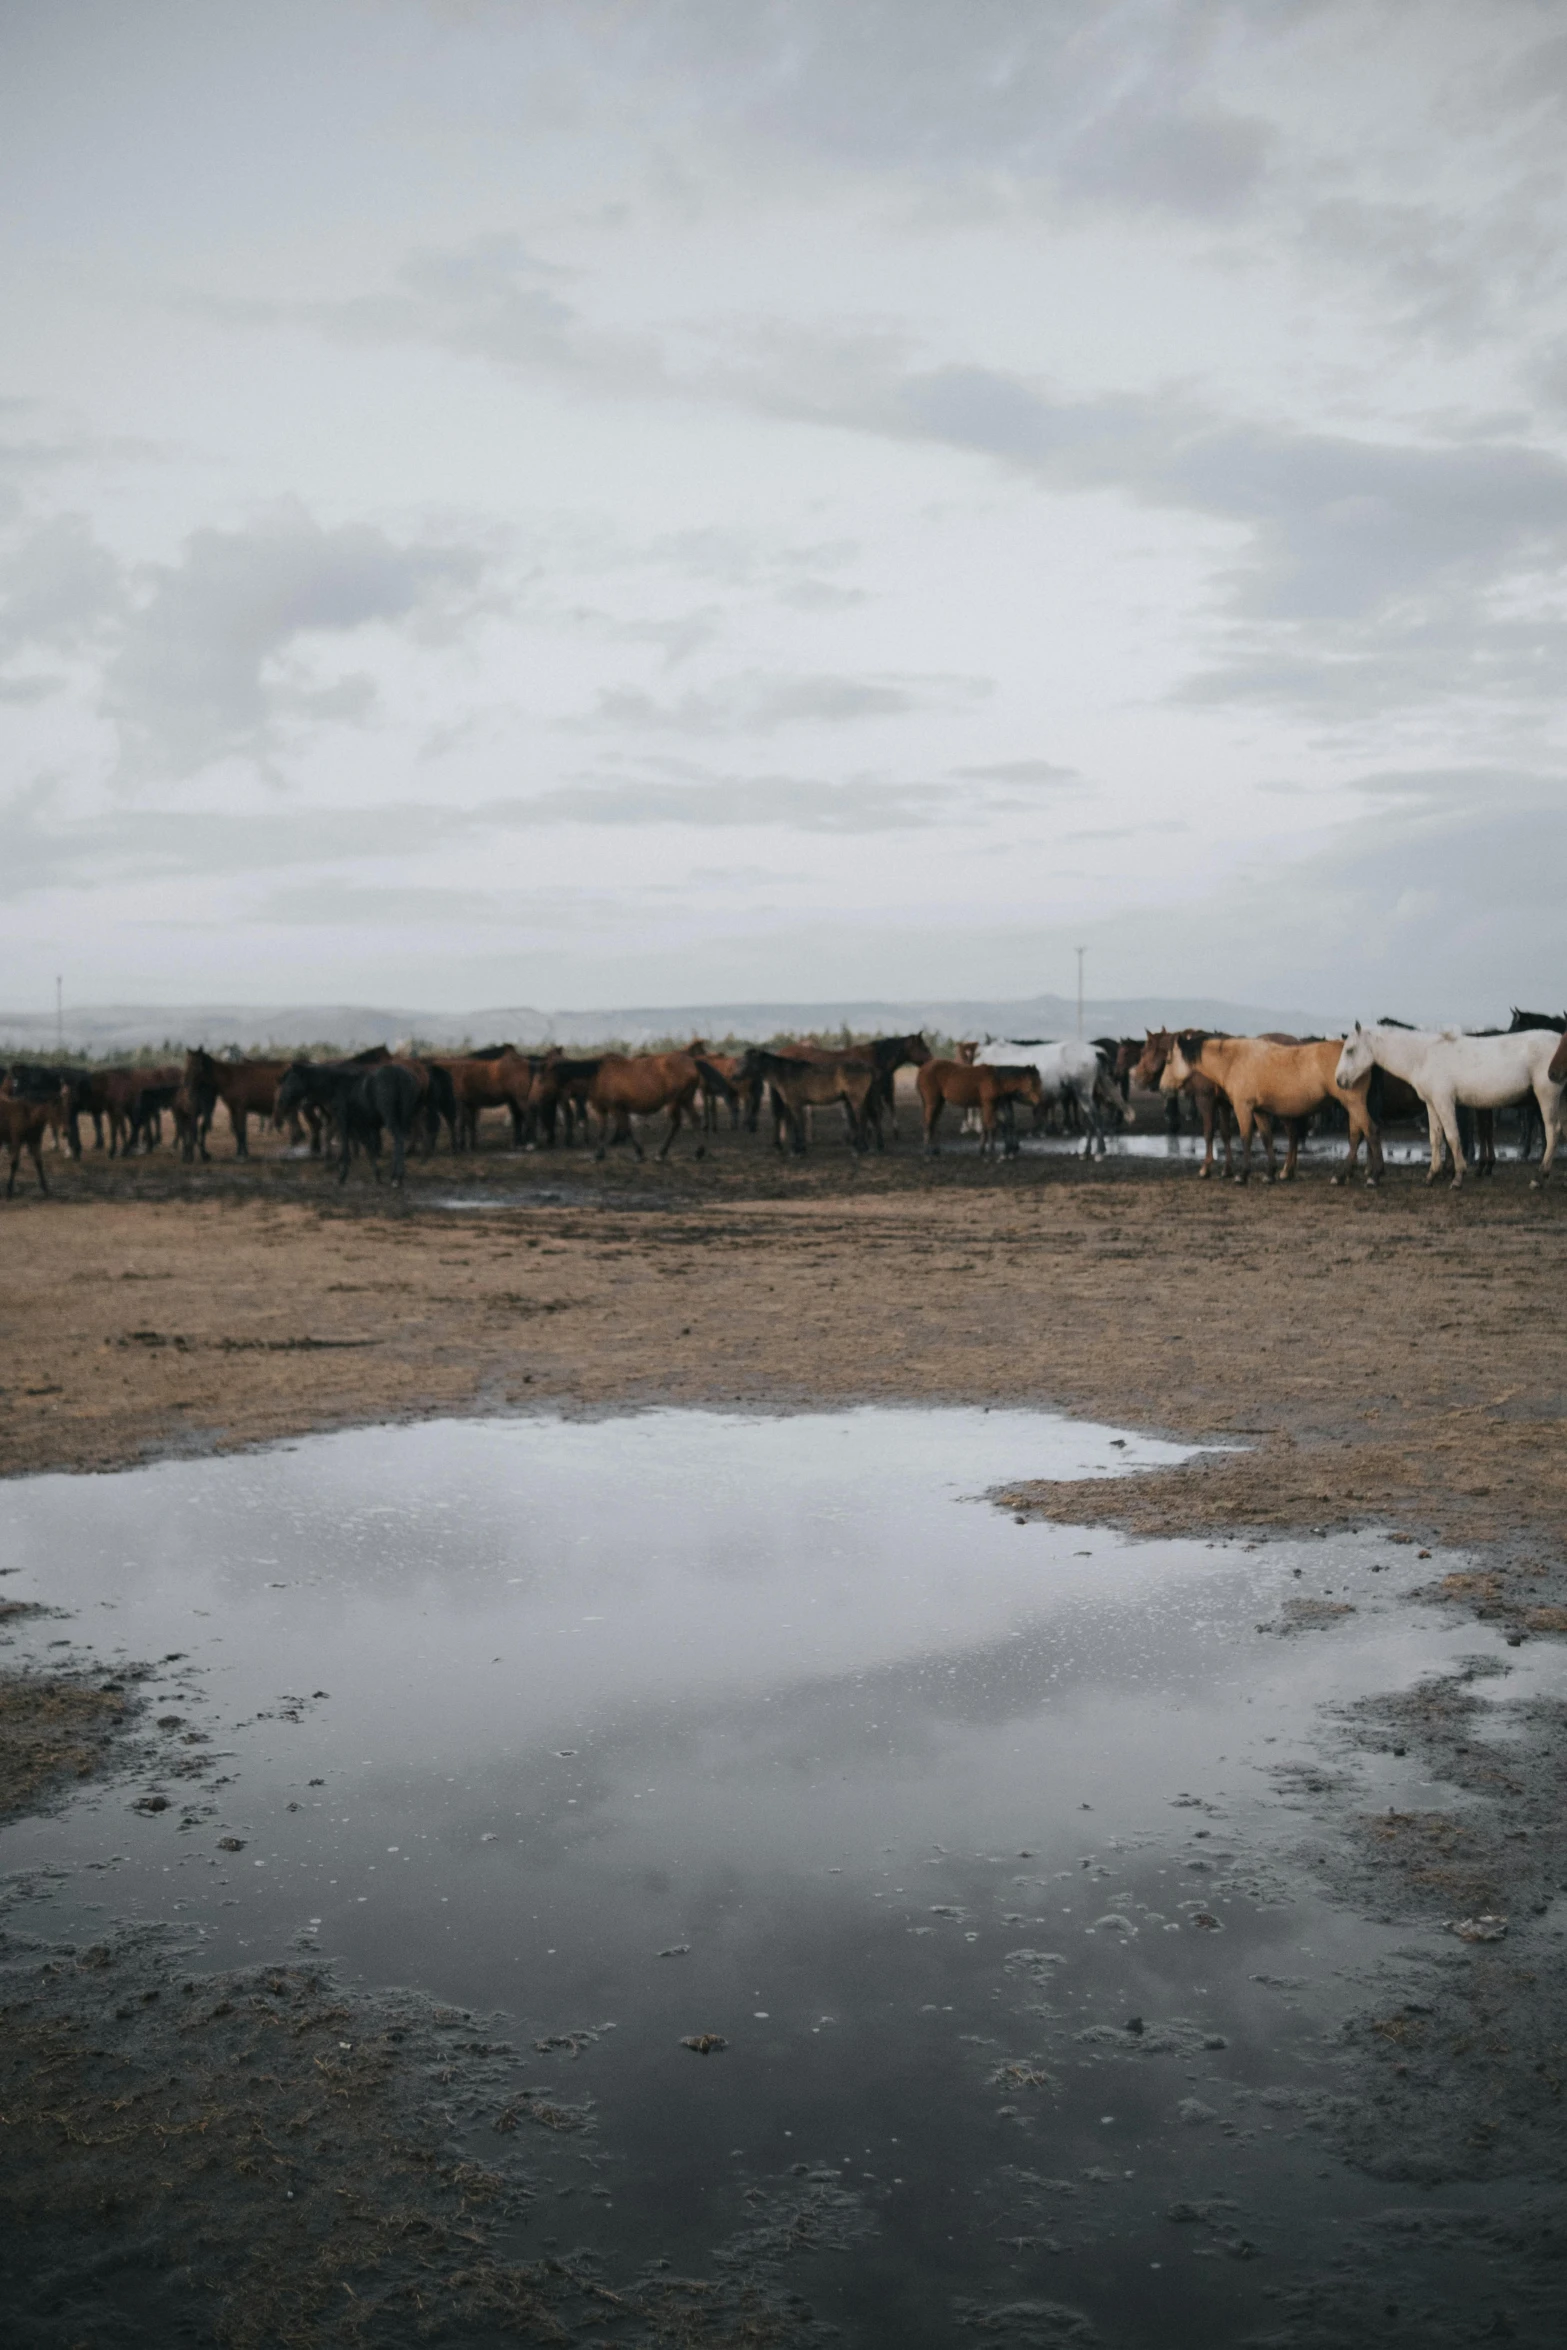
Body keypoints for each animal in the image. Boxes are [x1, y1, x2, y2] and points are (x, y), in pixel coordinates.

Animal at [911, 1066, 1047, 1156]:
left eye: (1040, 1081)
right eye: (1031, 1083)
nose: (1040, 1100)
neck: (996, 1080)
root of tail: (922, 1070)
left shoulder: (988, 1106)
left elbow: (987, 1126)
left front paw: (983, 1150)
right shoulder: (988, 1104)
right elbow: (992, 1126)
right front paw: (991, 1152)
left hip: (940, 1102)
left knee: (933, 1123)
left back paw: (935, 1150)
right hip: (932, 1102)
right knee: (928, 1123)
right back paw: (927, 1152)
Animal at [972, 1043, 1122, 1160]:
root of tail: (1094, 1051)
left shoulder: (1001, 1100)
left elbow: (1005, 1123)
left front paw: (1006, 1151)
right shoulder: (1007, 1100)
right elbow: (1010, 1122)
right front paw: (1012, 1149)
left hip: (1083, 1093)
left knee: (1096, 1118)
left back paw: (1099, 1152)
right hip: (1091, 1095)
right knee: (1090, 1121)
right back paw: (1086, 1152)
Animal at [1165, 1034, 1381, 1184]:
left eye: (1168, 1060)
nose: (1164, 1088)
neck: (1233, 1060)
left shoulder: (1243, 1107)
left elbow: (1246, 1138)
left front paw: (1242, 1175)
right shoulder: (1259, 1110)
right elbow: (1266, 1137)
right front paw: (1270, 1173)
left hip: (1354, 1103)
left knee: (1370, 1131)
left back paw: (1373, 1177)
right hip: (1351, 1105)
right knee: (1356, 1136)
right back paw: (1343, 1175)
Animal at [1334, 1019, 1559, 1184]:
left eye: (1350, 1050)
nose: (1339, 1080)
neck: (1424, 1056)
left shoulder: (1445, 1101)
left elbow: (1452, 1137)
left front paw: (1458, 1177)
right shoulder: (1432, 1104)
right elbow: (1436, 1138)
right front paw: (1431, 1175)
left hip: (1546, 1096)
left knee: (1552, 1131)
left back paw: (1540, 1177)